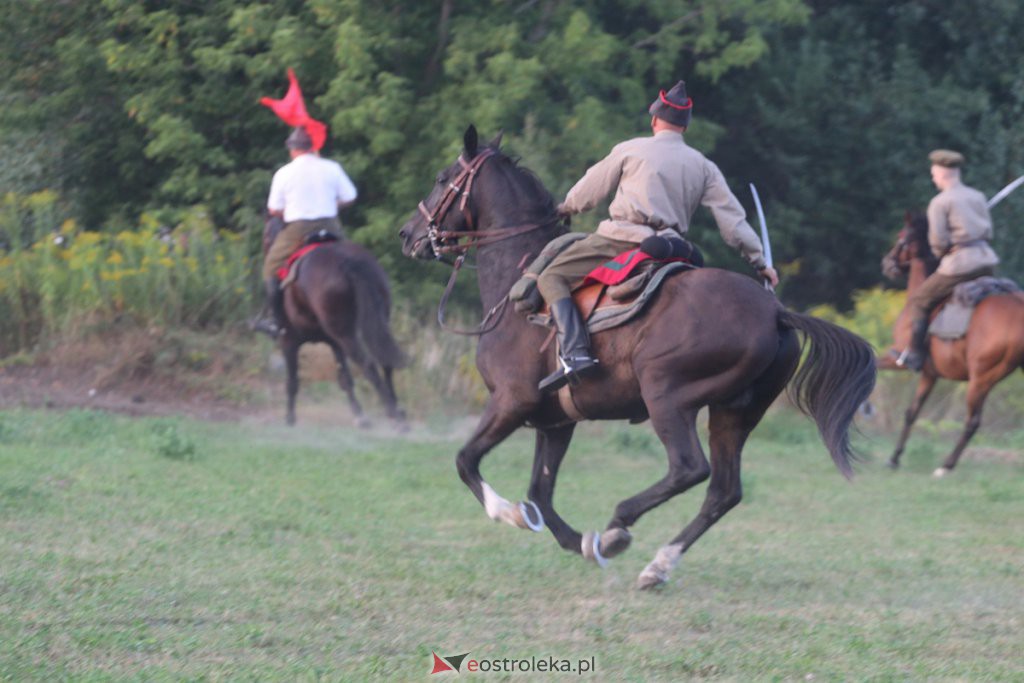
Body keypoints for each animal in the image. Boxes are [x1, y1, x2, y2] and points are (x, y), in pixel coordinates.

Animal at [264, 216, 407, 428]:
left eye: (266, 234)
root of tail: (349, 261)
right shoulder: (335, 343)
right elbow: (345, 379)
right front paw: (360, 416)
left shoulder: (289, 341)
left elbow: (292, 381)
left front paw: (290, 418)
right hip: (371, 326)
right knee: (385, 359)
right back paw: (397, 410)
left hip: (345, 334)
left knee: (368, 364)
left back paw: (394, 415)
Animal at [395, 126, 876, 589]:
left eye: (442, 178)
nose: (408, 235)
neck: (517, 282)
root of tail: (775, 311)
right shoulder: (556, 421)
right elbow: (541, 493)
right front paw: (579, 543)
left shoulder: (511, 402)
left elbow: (466, 461)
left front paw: (511, 514)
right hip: (734, 413)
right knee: (724, 491)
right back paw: (657, 565)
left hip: (667, 397)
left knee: (689, 469)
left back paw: (619, 526)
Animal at [876, 211, 1024, 475]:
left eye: (902, 236)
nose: (887, 263)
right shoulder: (929, 374)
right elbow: (911, 413)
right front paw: (894, 458)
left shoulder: (899, 359)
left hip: (981, 380)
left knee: (972, 422)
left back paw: (946, 466)